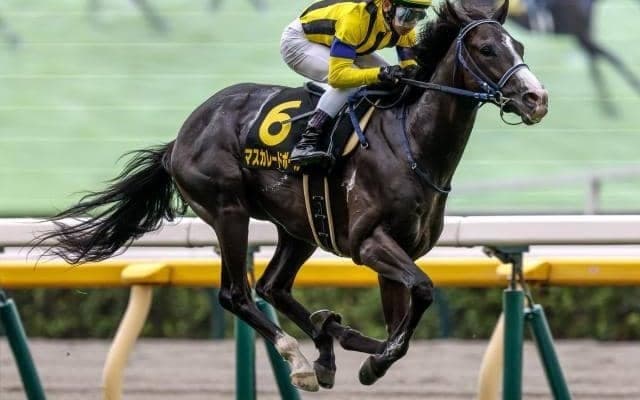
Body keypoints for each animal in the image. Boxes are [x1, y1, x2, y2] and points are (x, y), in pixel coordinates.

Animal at [38, 0, 547, 392]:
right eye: (486, 48)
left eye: (519, 46)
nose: (536, 99)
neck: (412, 142)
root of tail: (180, 138)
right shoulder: (367, 243)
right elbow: (421, 290)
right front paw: (372, 359)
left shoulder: (400, 248)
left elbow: (403, 315)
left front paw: (366, 352)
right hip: (228, 211)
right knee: (238, 294)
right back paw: (303, 359)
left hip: (298, 226)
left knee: (273, 287)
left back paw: (328, 338)